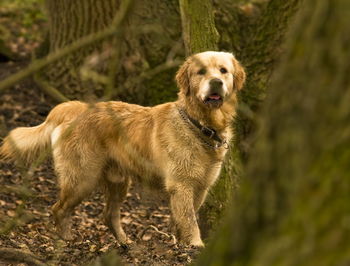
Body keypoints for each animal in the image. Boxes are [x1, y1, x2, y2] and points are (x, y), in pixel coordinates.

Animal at [0, 51, 246, 246]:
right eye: (201, 72)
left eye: (223, 71)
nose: (216, 82)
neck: (200, 125)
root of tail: (74, 107)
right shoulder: (181, 185)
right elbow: (189, 221)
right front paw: (195, 246)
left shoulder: (201, 186)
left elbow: (183, 219)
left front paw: (180, 245)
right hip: (82, 178)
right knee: (58, 209)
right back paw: (66, 240)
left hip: (118, 180)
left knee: (108, 215)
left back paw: (124, 243)